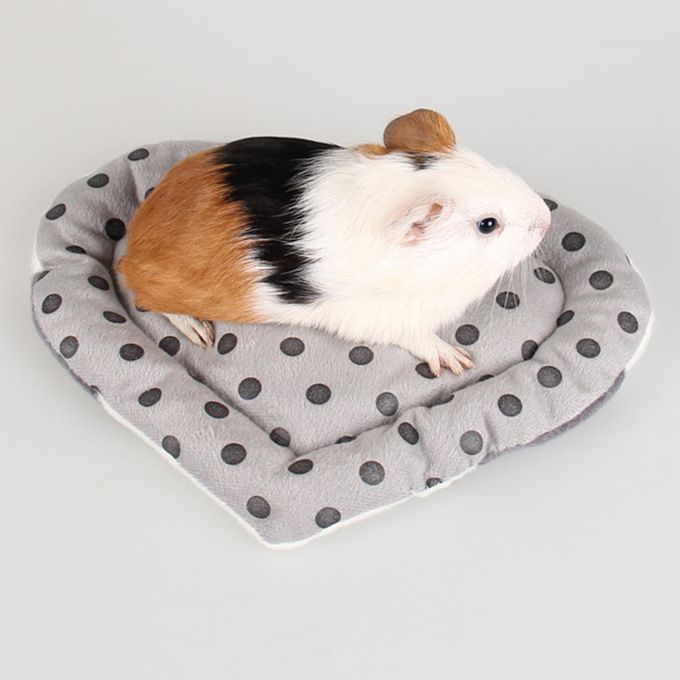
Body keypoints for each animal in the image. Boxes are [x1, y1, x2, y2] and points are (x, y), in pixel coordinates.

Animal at [118, 109, 551, 376]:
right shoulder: (376, 317)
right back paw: (201, 334)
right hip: (160, 290)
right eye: (487, 225)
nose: (546, 219)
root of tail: (133, 244)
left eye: (490, 167)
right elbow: (417, 337)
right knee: (147, 300)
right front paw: (458, 360)